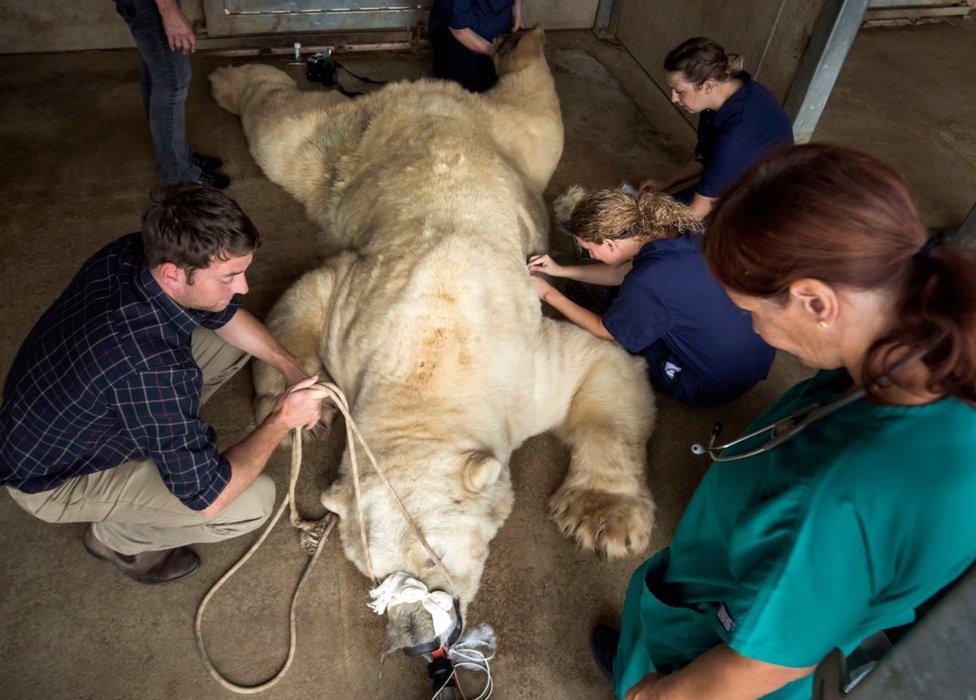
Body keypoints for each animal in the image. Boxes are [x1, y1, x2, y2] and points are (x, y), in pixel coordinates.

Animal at [213, 28, 656, 652]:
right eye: (375, 574)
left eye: (432, 561)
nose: (419, 639)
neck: (432, 365)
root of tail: (423, 92)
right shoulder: (353, 316)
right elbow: (304, 298)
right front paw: (297, 412)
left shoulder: (526, 372)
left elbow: (604, 363)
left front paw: (601, 519)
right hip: (342, 154)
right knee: (283, 131)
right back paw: (227, 77)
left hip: (512, 147)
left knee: (539, 115)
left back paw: (521, 41)